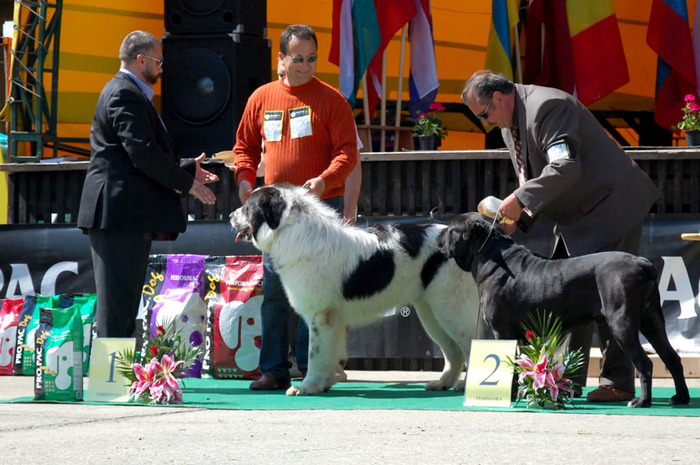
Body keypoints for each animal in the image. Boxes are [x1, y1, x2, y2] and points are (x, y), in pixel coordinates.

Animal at [230, 183, 482, 394]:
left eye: (248, 207)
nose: (231, 215)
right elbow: (331, 354)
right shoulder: (334, 320)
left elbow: (315, 354)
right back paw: (443, 383)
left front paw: (307, 387)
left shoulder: (320, 316)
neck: (291, 231)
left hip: (450, 310)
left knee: (469, 343)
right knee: (453, 353)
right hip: (431, 314)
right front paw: (324, 384)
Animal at [438, 212, 688, 408]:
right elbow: (520, 365)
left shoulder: (503, 332)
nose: (439, 235)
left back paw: (641, 401)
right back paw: (681, 398)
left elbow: (511, 365)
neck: (493, 256)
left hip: (622, 322)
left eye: (450, 230)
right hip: (652, 319)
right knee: (672, 357)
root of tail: (641, 263)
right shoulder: (520, 334)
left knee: (644, 363)